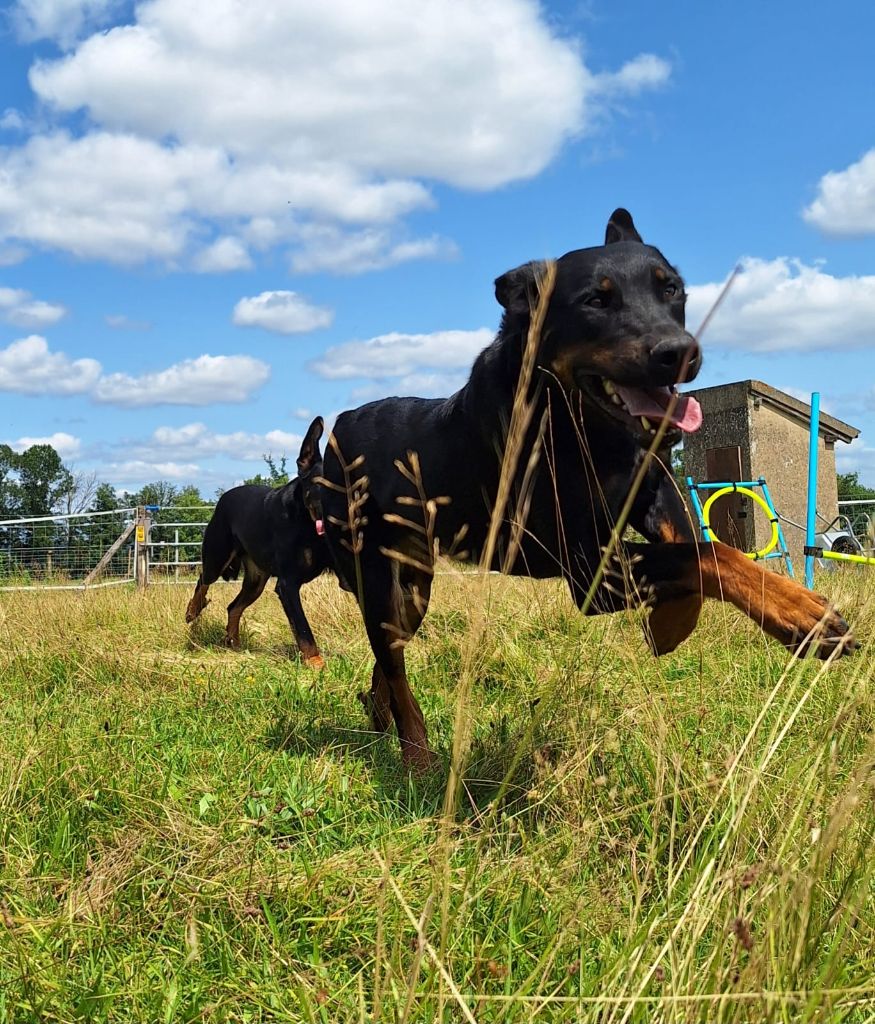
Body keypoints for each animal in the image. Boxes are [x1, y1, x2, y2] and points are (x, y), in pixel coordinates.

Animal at [185, 417, 331, 671]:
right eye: (318, 483)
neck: (307, 523)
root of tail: (224, 498)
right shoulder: (287, 584)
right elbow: (303, 628)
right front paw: (315, 662)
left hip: (256, 581)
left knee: (233, 607)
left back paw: (233, 642)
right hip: (218, 557)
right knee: (204, 579)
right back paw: (193, 610)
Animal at [321, 209, 856, 770]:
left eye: (673, 290)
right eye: (595, 302)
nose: (679, 352)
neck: (579, 420)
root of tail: (336, 430)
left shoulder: (652, 488)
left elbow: (689, 543)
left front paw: (669, 625)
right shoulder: (589, 574)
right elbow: (708, 554)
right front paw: (802, 613)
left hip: (412, 588)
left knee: (390, 656)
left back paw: (379, 711)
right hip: (377, 576)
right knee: (394, 663)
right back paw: (417, 754)